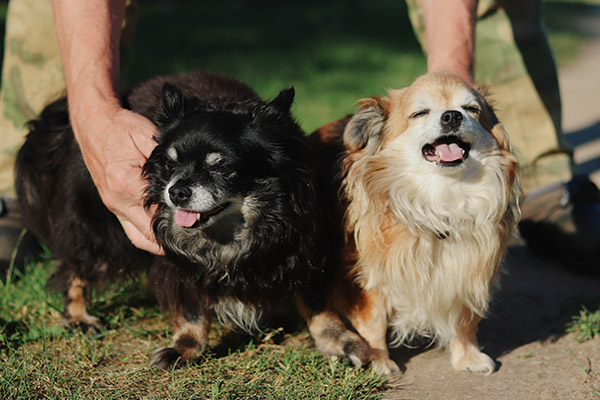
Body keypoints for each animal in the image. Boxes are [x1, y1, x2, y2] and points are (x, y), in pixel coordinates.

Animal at [16, 71, 372, 368]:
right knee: (75, 265)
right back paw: (78, 315)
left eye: (221, 167)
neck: (230, 233)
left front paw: (338, 341)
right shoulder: (176, 261)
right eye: (170, 164)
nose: (176, 191)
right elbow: (192, 308)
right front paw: (185, 348)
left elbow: (316, 301)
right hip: (97, 226)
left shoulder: (302, 247)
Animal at [310, 73, 520, 376]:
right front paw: (379, 359)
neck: (442, 198)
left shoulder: (468, 267)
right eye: (419, 113)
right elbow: (374, 320)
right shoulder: (368, 274)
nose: (452, 115)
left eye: (472, 109)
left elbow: (464, 320)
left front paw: (467, 356)